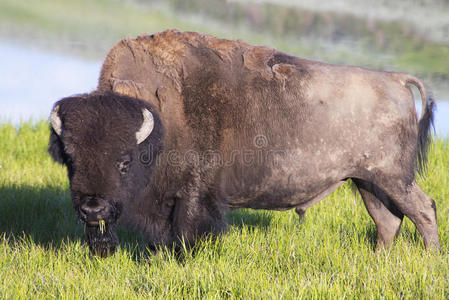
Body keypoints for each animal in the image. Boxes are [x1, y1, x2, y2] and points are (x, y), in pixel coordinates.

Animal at [48, 29, 438, 255]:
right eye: (71, 159)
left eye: (124, 161)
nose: (92, 209)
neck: (159, 119)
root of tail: (396, 80)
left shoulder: (192, 195)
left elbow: (186, 231)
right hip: (366, 182)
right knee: (388, 220)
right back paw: (380, 258)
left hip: (392, 178)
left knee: (423, 209)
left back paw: (431, 258)